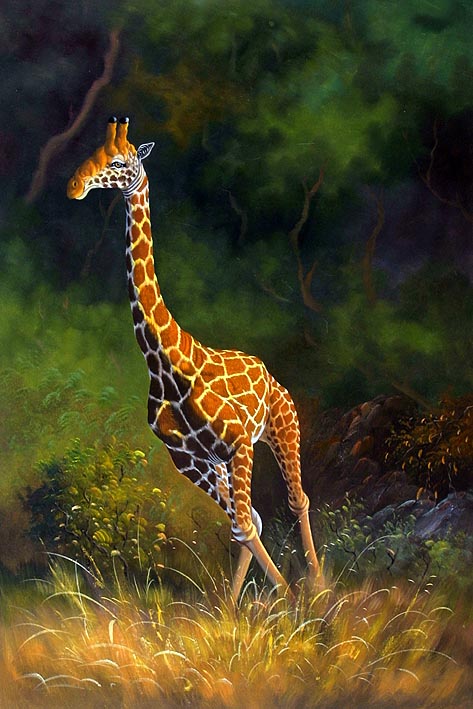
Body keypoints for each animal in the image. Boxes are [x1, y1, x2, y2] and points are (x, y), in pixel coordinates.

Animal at [67, 116, 322, 599]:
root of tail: (269, 373)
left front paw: (288, 598)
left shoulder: (238, 442)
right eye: (91, 151)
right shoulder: (184, 458)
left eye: (120, 161)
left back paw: (319, 584)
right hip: (217, 462)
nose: (74, 186)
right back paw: (237, 603)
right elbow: (245, 524)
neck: (164, 363)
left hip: (283, 424)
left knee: (297, 498)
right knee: (253, 516)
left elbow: (248, 524)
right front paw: (244, 606)